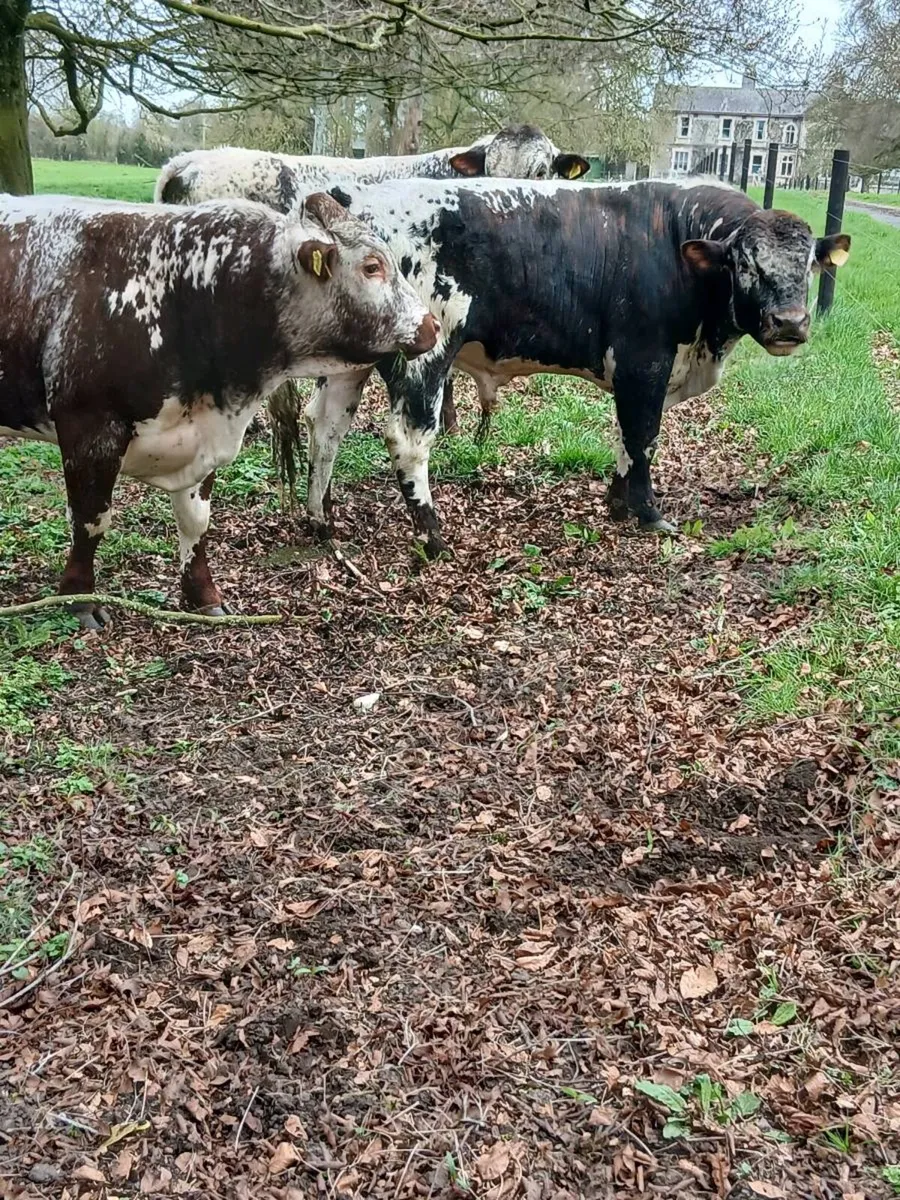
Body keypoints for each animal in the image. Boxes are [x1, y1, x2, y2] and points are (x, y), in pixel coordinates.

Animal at [0, 191, 438, 628]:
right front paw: (79, 600)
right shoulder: (89, 427)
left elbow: (196, 521)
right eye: (372, 266)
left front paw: (203, 596)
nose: (431, 326)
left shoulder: (202, 434)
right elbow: (89, 521)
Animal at [284, 178, 850, 557]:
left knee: (326, 426)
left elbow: (625, 437)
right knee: (408, 439)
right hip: (426, 351)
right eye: (745, 264)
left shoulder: (635, 375)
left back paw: (321, 518)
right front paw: (648, 513)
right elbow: (643, 436)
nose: (790, 322)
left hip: (350, 362)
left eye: (809, 265)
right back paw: (433, 535)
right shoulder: (644, 362)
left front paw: (618, 502)